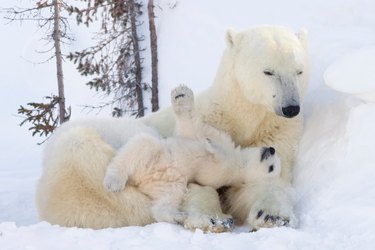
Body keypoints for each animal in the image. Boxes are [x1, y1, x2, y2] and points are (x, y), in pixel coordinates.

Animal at [142, 25, 310, 229]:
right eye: (268, 71)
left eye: (299, 71)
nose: (291, 108)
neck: (239, 116)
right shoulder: (210, 123)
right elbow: (200, 175)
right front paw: (212, 218)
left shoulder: (276, 130)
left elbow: (274, 174)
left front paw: (272, 215)